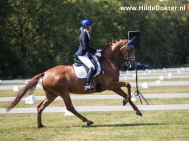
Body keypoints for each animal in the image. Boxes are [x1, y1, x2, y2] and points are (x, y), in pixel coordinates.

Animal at [6, 38, 142, 128]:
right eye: (130, 49)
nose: (132, 64)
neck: (108, 61)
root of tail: (45, 72)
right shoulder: (110, 85)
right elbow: (128, 84)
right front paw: (127, 102)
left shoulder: (114, 86)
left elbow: (126, 93)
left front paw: (136, 110)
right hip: (63, 92)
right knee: (69, 107)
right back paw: (87, 121)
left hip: (52, 94)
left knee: (40, 107)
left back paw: (40, 125)